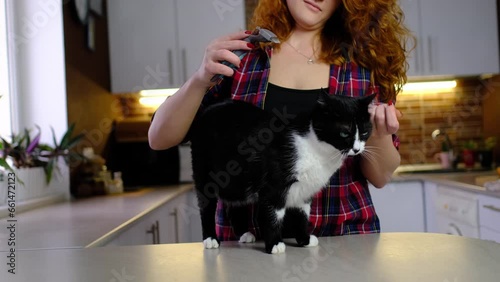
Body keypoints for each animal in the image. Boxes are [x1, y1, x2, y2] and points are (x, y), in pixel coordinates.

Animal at [189, 91, 374, 254]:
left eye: (365, 132)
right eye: (344, 132)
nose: (357, 149)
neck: (316, 149)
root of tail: (208, 109)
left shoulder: (305, 189)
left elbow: (302, 215)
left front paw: (304, 239)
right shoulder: (273, 186)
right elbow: (274, 215)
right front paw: (274, 244)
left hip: (237, 180)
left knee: (235, 204)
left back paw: (244, 234)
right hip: (205, 170)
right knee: (206, 204)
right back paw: (210, 239)